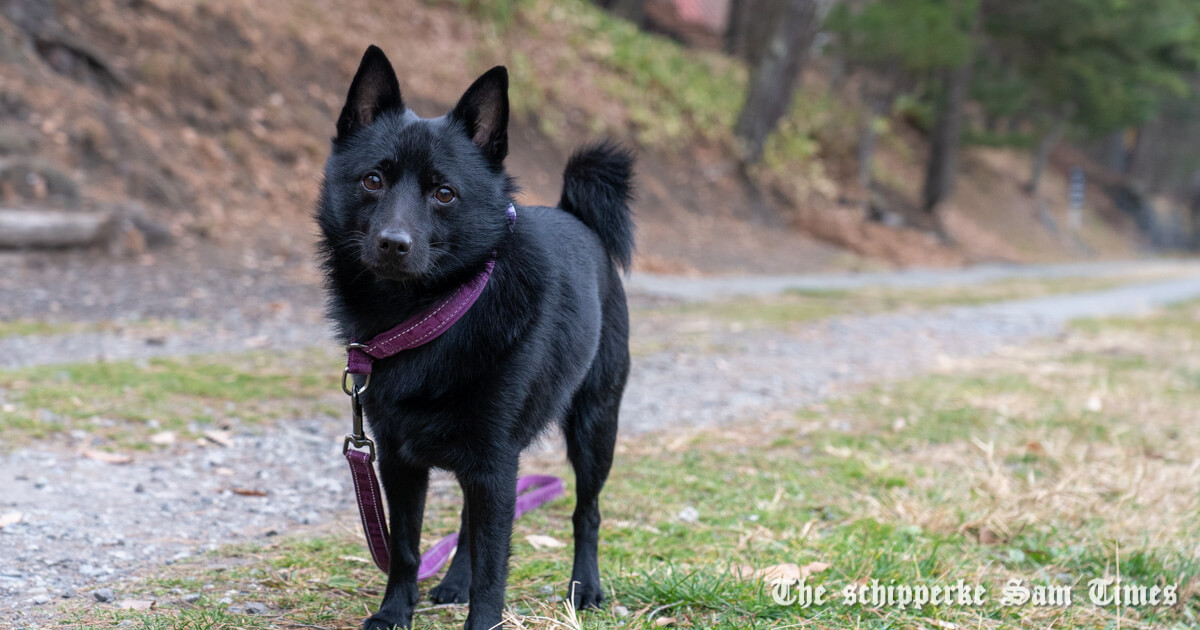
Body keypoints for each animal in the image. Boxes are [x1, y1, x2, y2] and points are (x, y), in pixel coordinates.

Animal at [316, 45, 638, 628]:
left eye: (444, 193)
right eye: (373, 180)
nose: (393, 243)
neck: (432, 314)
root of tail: (576, 216)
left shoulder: (495, 464)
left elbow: (494, 567)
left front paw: (482, 619)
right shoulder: (399, 462)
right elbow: (406, 548)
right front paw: (395, 611)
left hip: (595, 428)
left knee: (587, 512)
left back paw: (585, 587)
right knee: (468, 522)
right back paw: (452, 582)